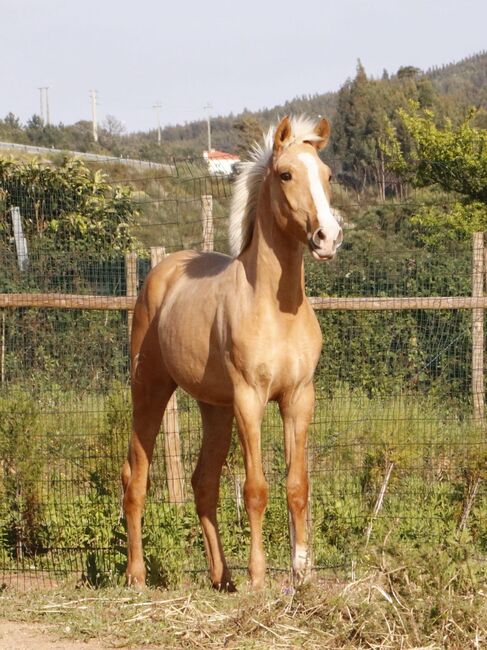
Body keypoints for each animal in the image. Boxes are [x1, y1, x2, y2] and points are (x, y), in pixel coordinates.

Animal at [121, 114, 344, 588]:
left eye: (328, 175)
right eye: (286, 174)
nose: (328, 237)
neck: (276, 309)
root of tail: (160, 275)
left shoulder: (298, 398)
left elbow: (297, 486)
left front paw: (302, 572)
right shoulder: (250, 400)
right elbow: (255, 488)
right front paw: (258, 577)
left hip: (214, 409)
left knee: (203, 483)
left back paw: (222, 577)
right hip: (150, 392)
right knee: (136, 477)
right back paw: (136, 575)